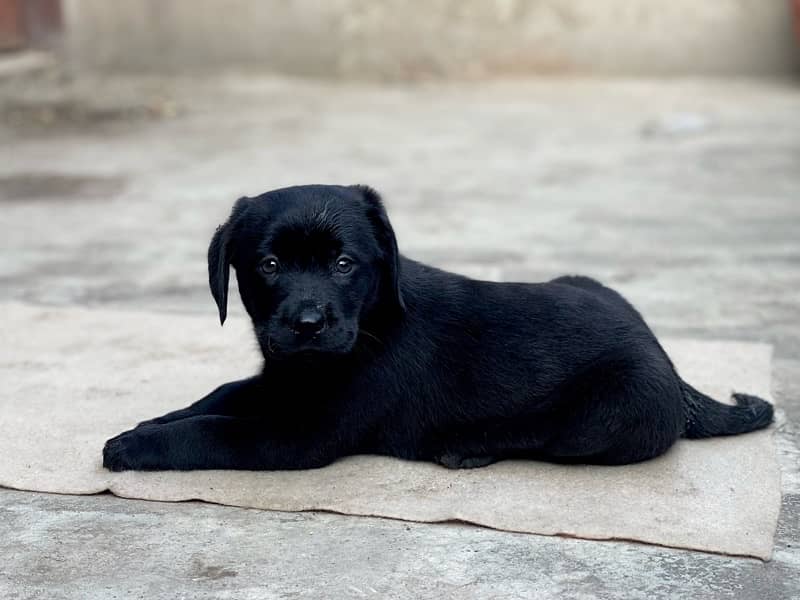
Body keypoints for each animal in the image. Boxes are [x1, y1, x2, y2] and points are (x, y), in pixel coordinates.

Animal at [103, 183, 772, 468]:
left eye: (344, 264)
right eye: (268, 266)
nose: (309, 324)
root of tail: (673, 370)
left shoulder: (302, 434)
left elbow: (215, 431)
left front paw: (134, 446)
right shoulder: (282, 377)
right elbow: (220, 396)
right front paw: (152, 420)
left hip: (607, 414)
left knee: (549, 439)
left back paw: (464, 450)